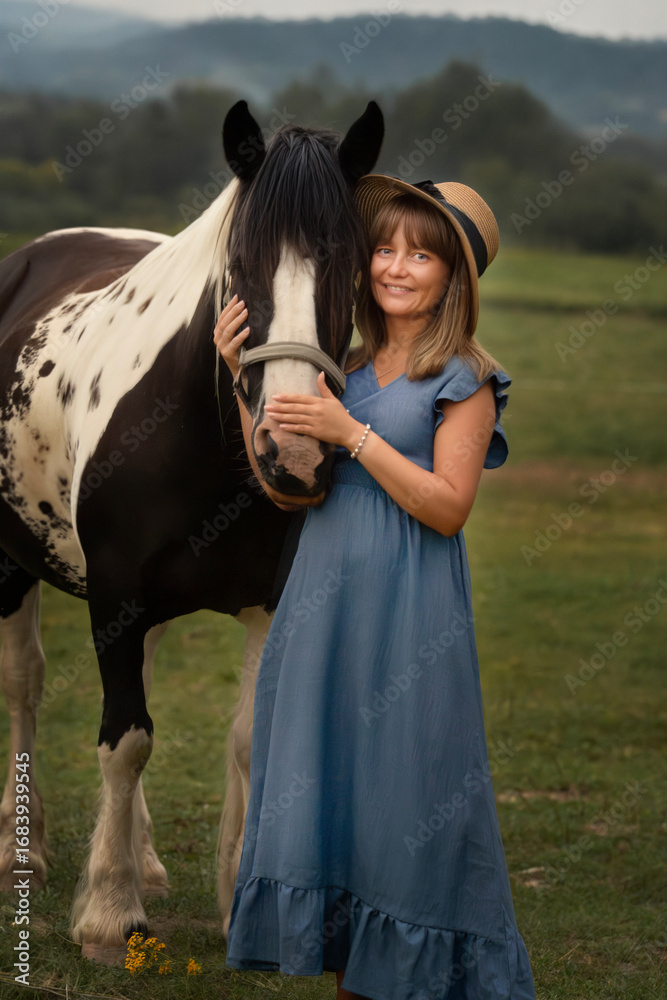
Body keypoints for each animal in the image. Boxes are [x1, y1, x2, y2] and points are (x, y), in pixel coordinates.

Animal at [0, 98, 384, 963]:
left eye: (350, 266)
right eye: (238, 269)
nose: (294, 453)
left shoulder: (269, 602)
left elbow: (246, 739)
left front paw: (238, 900)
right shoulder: (114, 595)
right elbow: (126, 738)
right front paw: (110, 913)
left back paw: (140, 854)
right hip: (10, 567)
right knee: (25, 686)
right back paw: (23, 849)